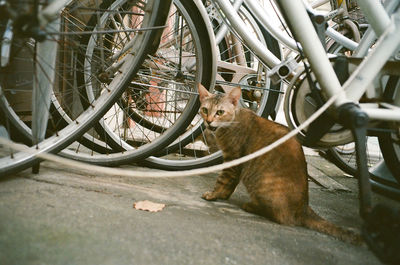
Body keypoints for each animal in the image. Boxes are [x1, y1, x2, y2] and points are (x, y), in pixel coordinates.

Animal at [198, 83, 362, 243]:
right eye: (205, 109)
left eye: (220, 112)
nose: (208, 121)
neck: (232, 122)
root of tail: (304, 207)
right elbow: (230, 185)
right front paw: (223, 196)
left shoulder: (232, 160)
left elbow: (222, 181)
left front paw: (213, 195)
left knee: (282, 217)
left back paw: (252, 206)